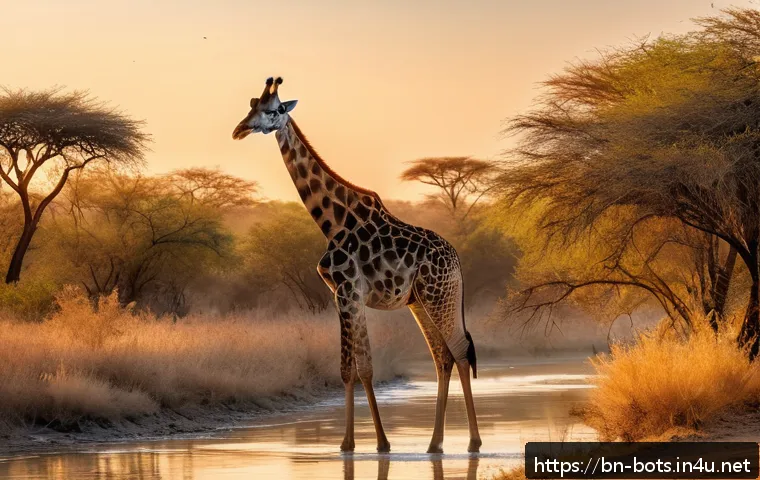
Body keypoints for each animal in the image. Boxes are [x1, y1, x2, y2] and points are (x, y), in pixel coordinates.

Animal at [232, 77, 482, 454]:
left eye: (274, 110)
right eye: (251, 105)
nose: (240, 130)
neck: (331, 222)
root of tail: (458, 261)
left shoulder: (347, 291)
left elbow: (354, 368)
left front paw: (358, 443)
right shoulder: (347, 295)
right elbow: (358, 366)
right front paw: (371, 443)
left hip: (440, 295)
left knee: (460, 350)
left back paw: (473, 442)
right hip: (421, 301)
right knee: (443, 356)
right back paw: (434, 443)